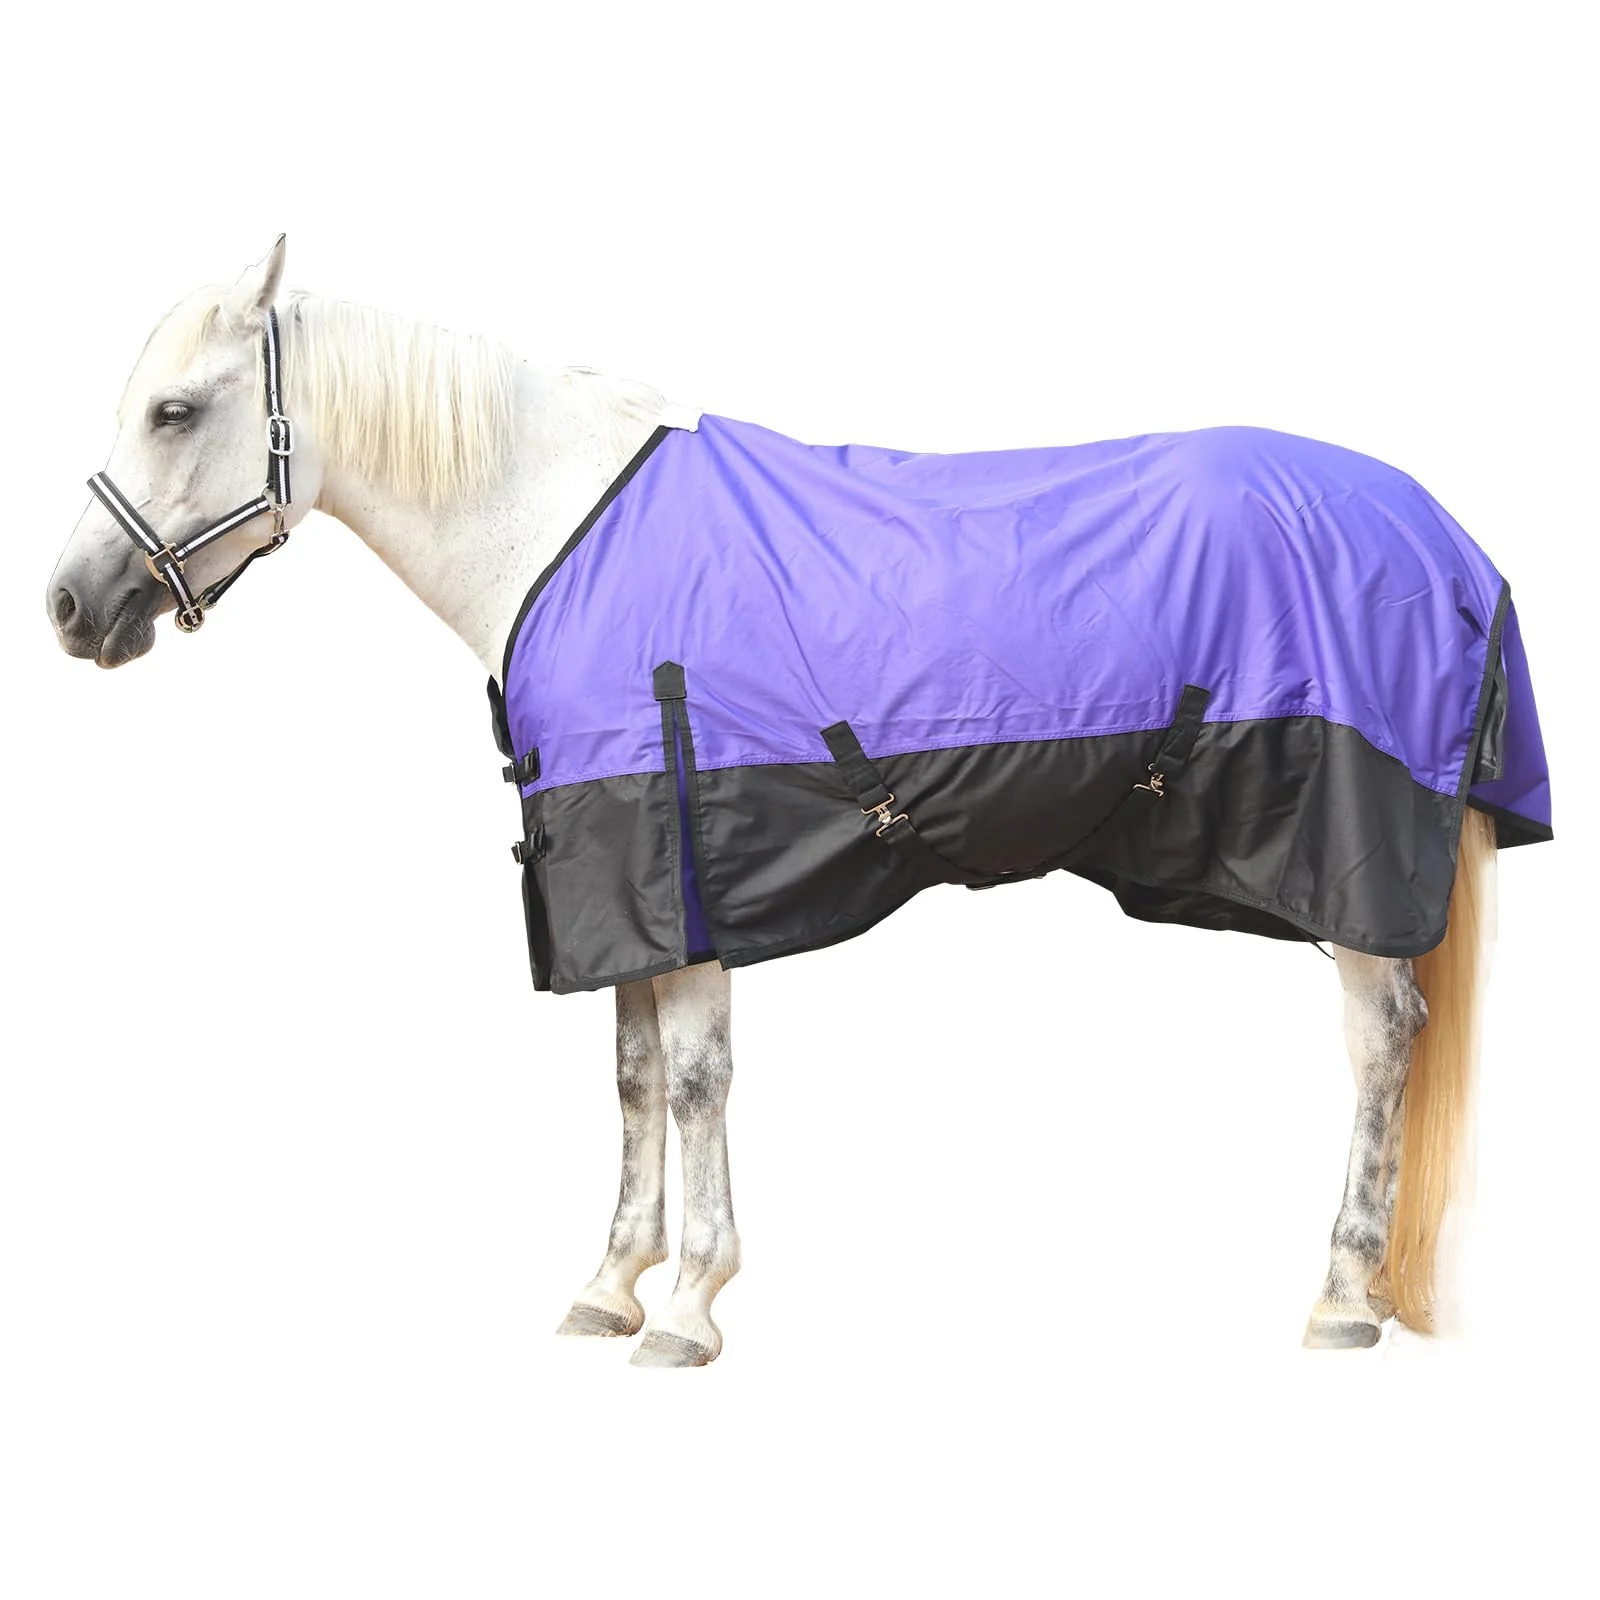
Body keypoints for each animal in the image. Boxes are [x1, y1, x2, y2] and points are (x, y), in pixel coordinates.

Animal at [46, 238, 1550, 1365]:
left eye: (177, 409)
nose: (68, 606)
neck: (556, 531)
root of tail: (1445, 536)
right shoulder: (625, 889)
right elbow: (633, 1080)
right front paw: (610, 1285)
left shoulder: (682, 867)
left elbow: (696, 1082)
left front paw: (690, 1306)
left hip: (1351, 865)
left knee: (1381, 1045)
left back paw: (1342, 1298)